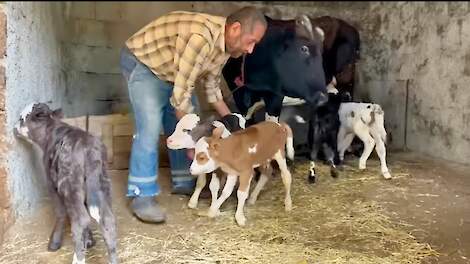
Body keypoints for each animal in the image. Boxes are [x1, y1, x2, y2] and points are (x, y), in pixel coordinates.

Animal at [14, 102, 118, 264]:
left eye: (21, 118)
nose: (14, 128)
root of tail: (88, 147)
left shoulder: (51, 184)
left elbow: (61, 213)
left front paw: (55, 242)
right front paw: (89, 241)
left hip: (70, 186)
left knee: (81, 219)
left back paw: (78, 259)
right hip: (103, 184)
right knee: (107, 220)